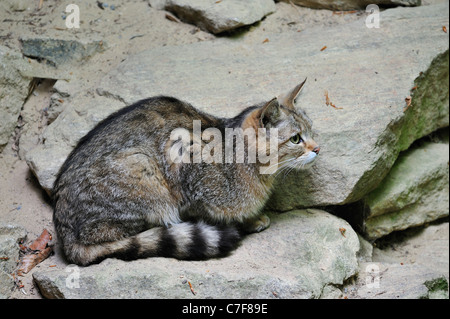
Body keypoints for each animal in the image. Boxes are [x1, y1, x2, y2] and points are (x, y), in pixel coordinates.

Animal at [53, 79, 320, 266]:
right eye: (296, 139)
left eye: (311, 131)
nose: (318, 148)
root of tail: (64, 235)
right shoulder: (185, 163)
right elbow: (209, 212)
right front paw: (249, 220)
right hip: (143, 171)